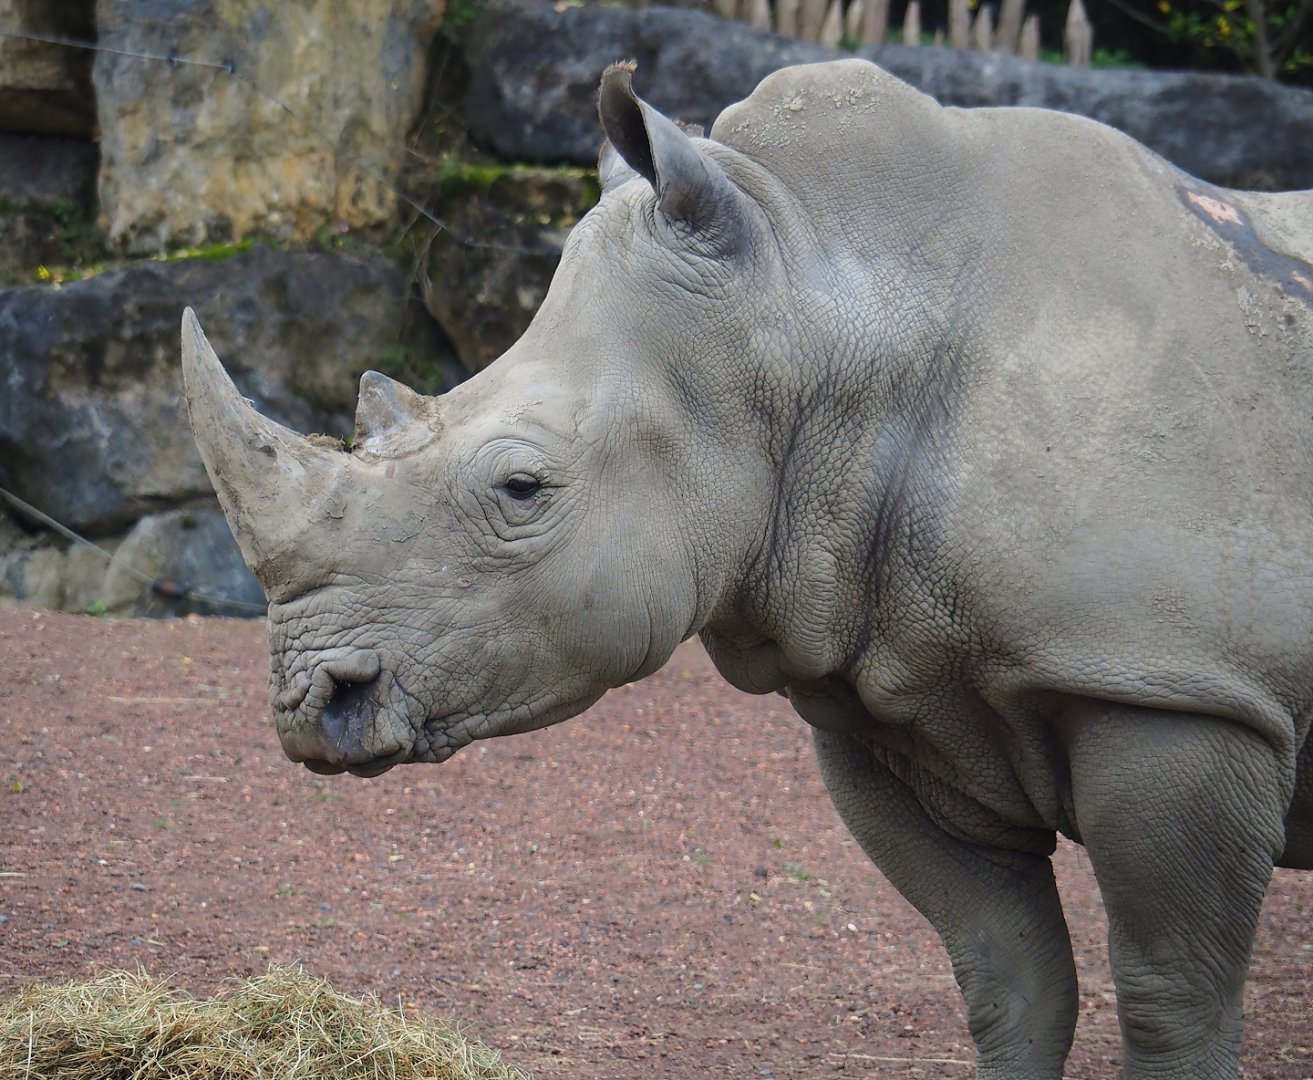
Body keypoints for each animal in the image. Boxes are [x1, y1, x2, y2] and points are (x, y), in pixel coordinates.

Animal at [181, 58, 1313, 1079]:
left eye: (522, 488)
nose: (310, 707)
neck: (813, 303)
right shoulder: (891, 688)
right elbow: (1007, 978)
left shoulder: (1175, 685)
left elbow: (1169, 993)